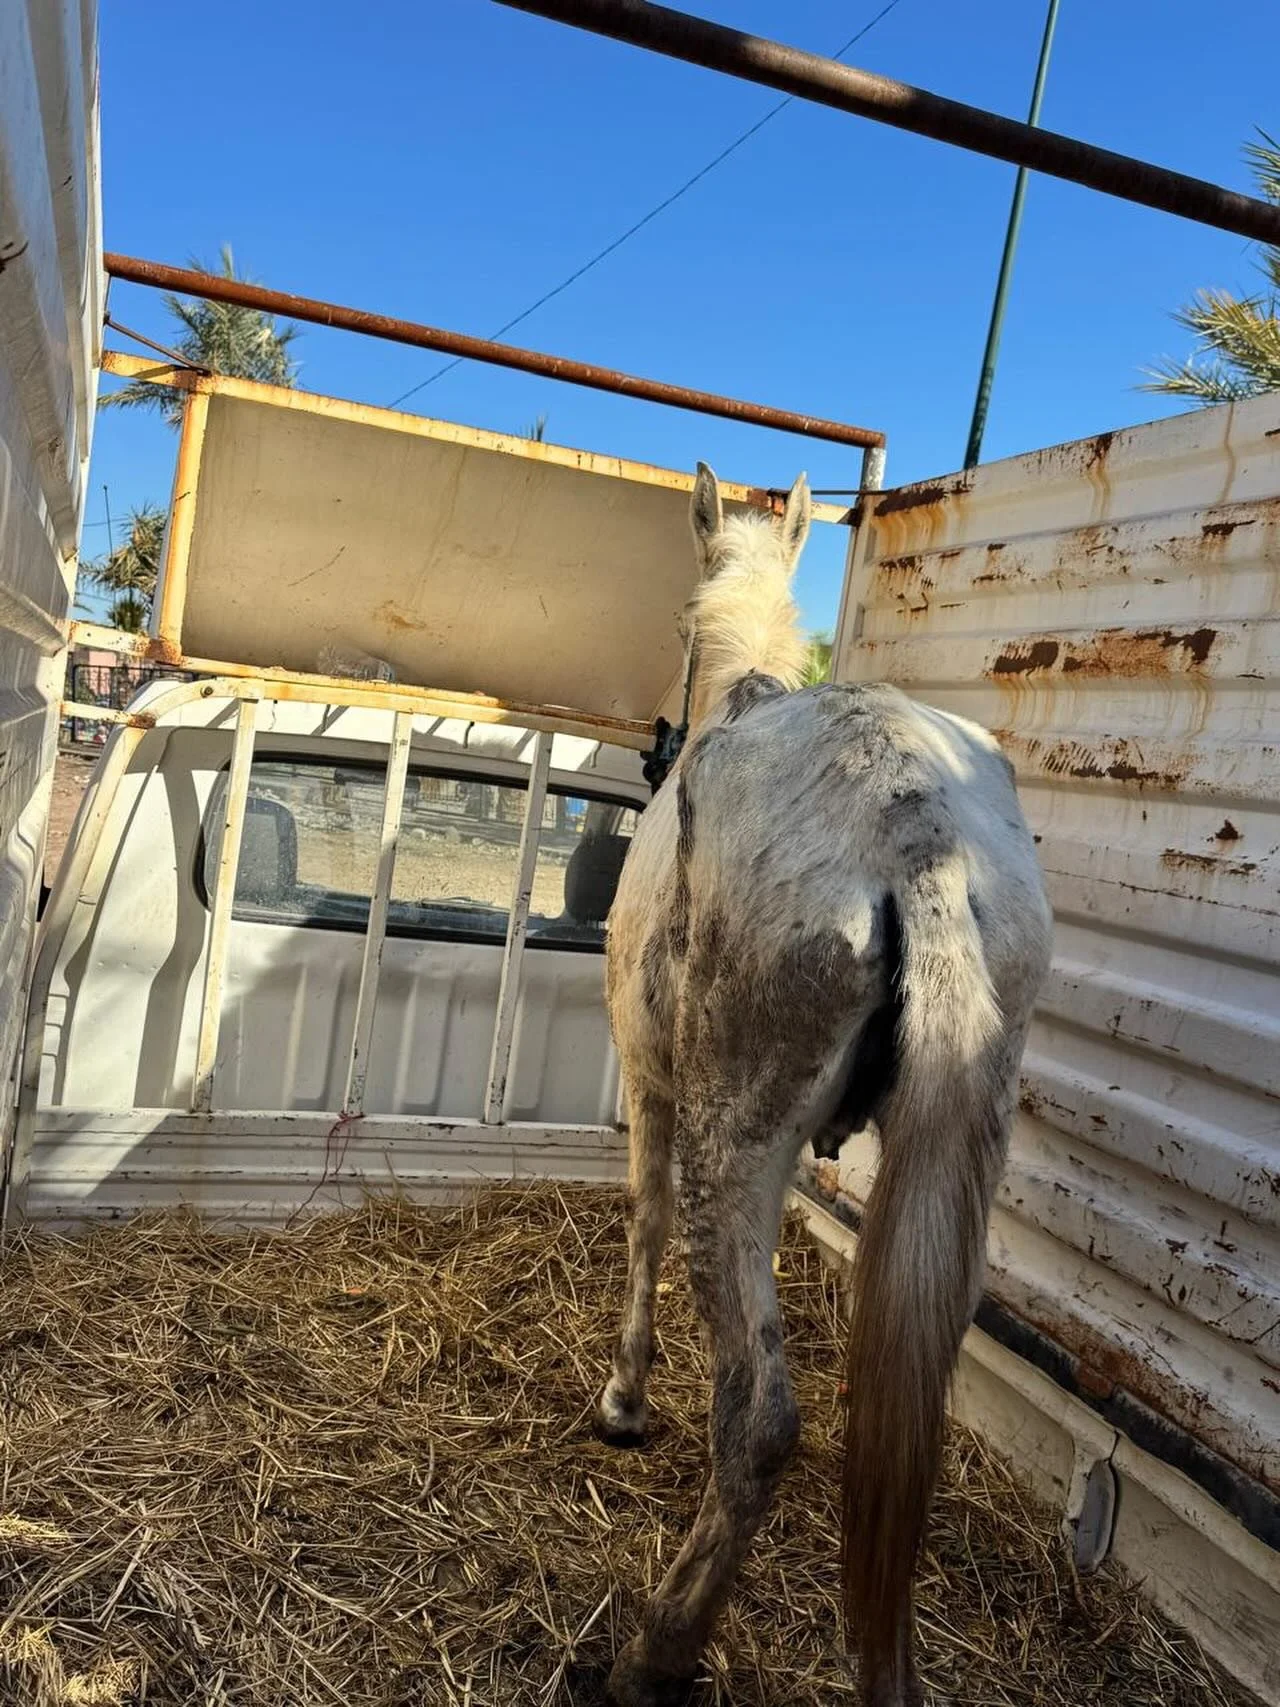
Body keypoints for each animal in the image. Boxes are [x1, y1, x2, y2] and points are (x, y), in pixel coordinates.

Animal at [596, 464, 1053, 1707]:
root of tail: (919, 838)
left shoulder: (649, 1083)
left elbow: (643, 1223)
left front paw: (622, 1403)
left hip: (732, 1138)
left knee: (757, 1419)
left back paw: (654, 1652)